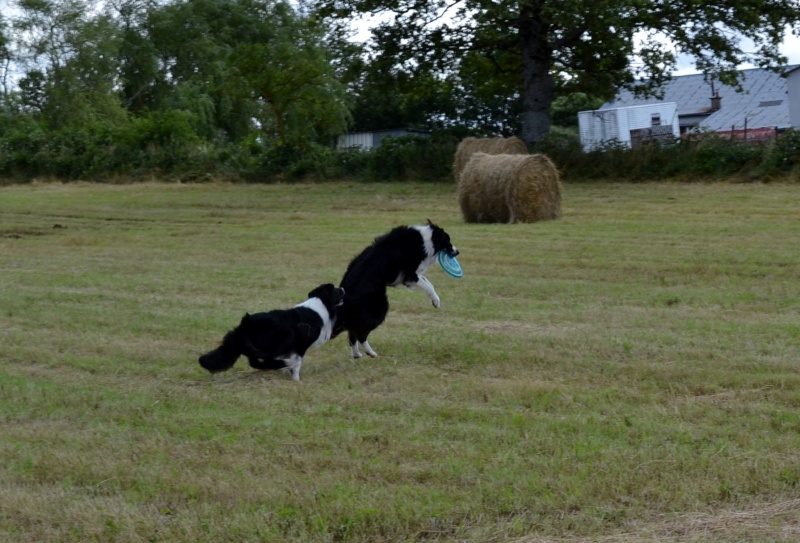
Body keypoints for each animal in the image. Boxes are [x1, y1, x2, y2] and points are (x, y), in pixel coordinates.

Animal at [199, 284, 344, 382]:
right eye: (335, 289)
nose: (343, 289)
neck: (320, 304)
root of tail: (246, 323)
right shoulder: (300, 345)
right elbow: (298, 363)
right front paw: (296, 379)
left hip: (244, 346)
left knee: (255, 363)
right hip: (277, 341)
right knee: (265, 361)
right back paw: (285, 363)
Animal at [330, 221, 456, 362]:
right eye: (448, 240)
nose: (458, 252)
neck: (425, 238)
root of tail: (344, 300)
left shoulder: (411, 277)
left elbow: (428, 282)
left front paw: (436, 300)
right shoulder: (410, 276)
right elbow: (428, 286)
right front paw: (436, 301)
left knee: (353, 334)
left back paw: (357, 354)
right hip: (380, 308)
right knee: (361, 334)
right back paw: (371, 353)